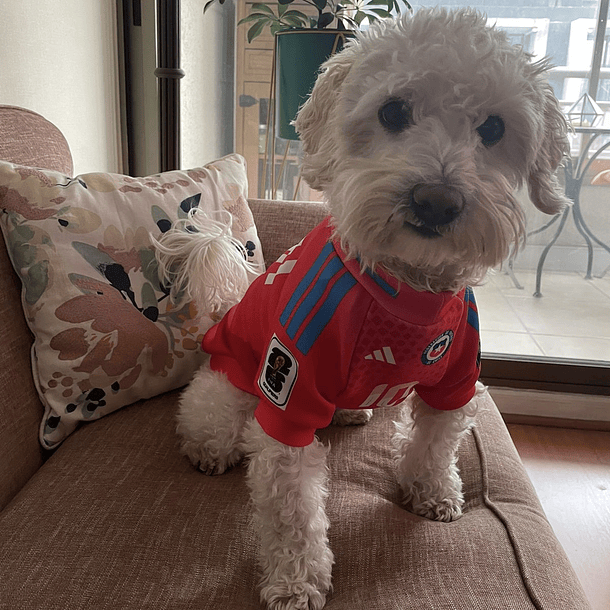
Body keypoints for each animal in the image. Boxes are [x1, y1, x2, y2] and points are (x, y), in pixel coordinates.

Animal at [154, 7, 568, 604]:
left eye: (493, 128)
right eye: (393, 111)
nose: (436, 201)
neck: (404, 287)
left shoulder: (456, 378)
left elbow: (436, 443)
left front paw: (432, 491)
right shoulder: (289, 390)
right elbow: (293, 508)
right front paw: (296, 581)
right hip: (229, 391)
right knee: (212, 422)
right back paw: (210, 449)